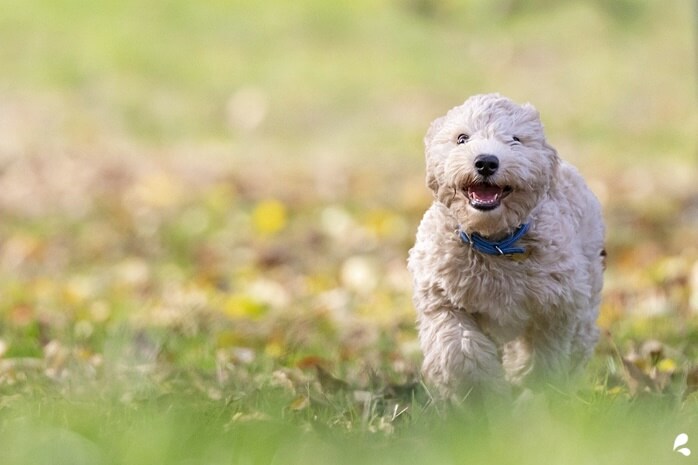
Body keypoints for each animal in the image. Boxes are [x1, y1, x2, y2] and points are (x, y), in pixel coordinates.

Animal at [408, 93, 604, 398]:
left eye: (515, 139)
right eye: (462, 138)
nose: (486, 162)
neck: (493, 243)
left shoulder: (555, 306)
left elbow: (542, 356)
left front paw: (533, 392)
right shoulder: (442, 299)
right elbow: (459, 349)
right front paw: (482, 395)